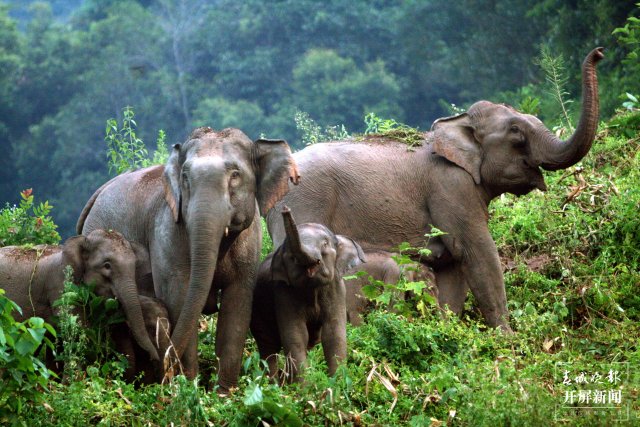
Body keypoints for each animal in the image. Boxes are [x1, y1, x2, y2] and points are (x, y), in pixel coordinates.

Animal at [77, 126, 300, 392]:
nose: (163, 368)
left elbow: (237, 305)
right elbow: (180, 298)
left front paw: (223, 394)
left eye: (235, 174)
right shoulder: (167, 232)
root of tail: (97, 193)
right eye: (185, 177)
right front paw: (188, 389)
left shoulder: (249, 242)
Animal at [252, 206, 368, 382]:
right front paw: (304, 387)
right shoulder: (283, 293)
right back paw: (272, 383)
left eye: (325, 243)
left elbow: (333, 333)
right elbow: (296, 335)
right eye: (290, 254)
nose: (285, 209)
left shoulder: (337, 289)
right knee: (268, 347)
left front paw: (337, 384)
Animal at [270, 48, 604, 332]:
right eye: (516, 133)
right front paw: (507, 339)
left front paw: (448, 327)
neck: (453, 129)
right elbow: (477, 252)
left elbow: (454, 266)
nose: (599, 52)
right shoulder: (451, 188)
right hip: (303, 207)